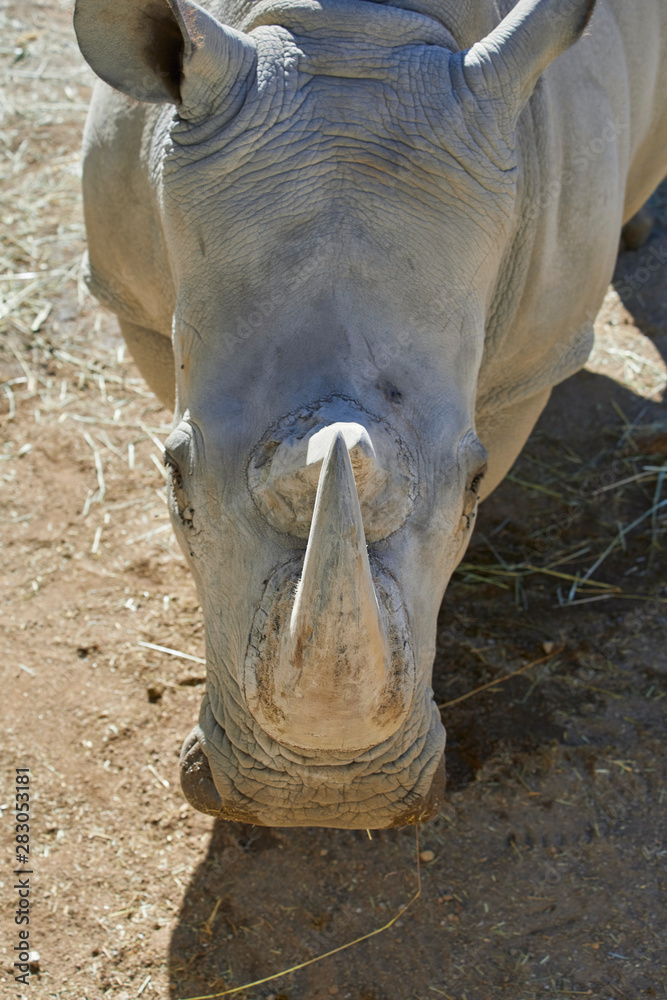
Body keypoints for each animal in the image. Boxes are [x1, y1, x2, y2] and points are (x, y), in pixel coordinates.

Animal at [74, 0, 667, 828]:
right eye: (172, 477)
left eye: (475, 484)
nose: (315, 801)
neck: (357, 29)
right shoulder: (130, 296)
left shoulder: (532, 364)